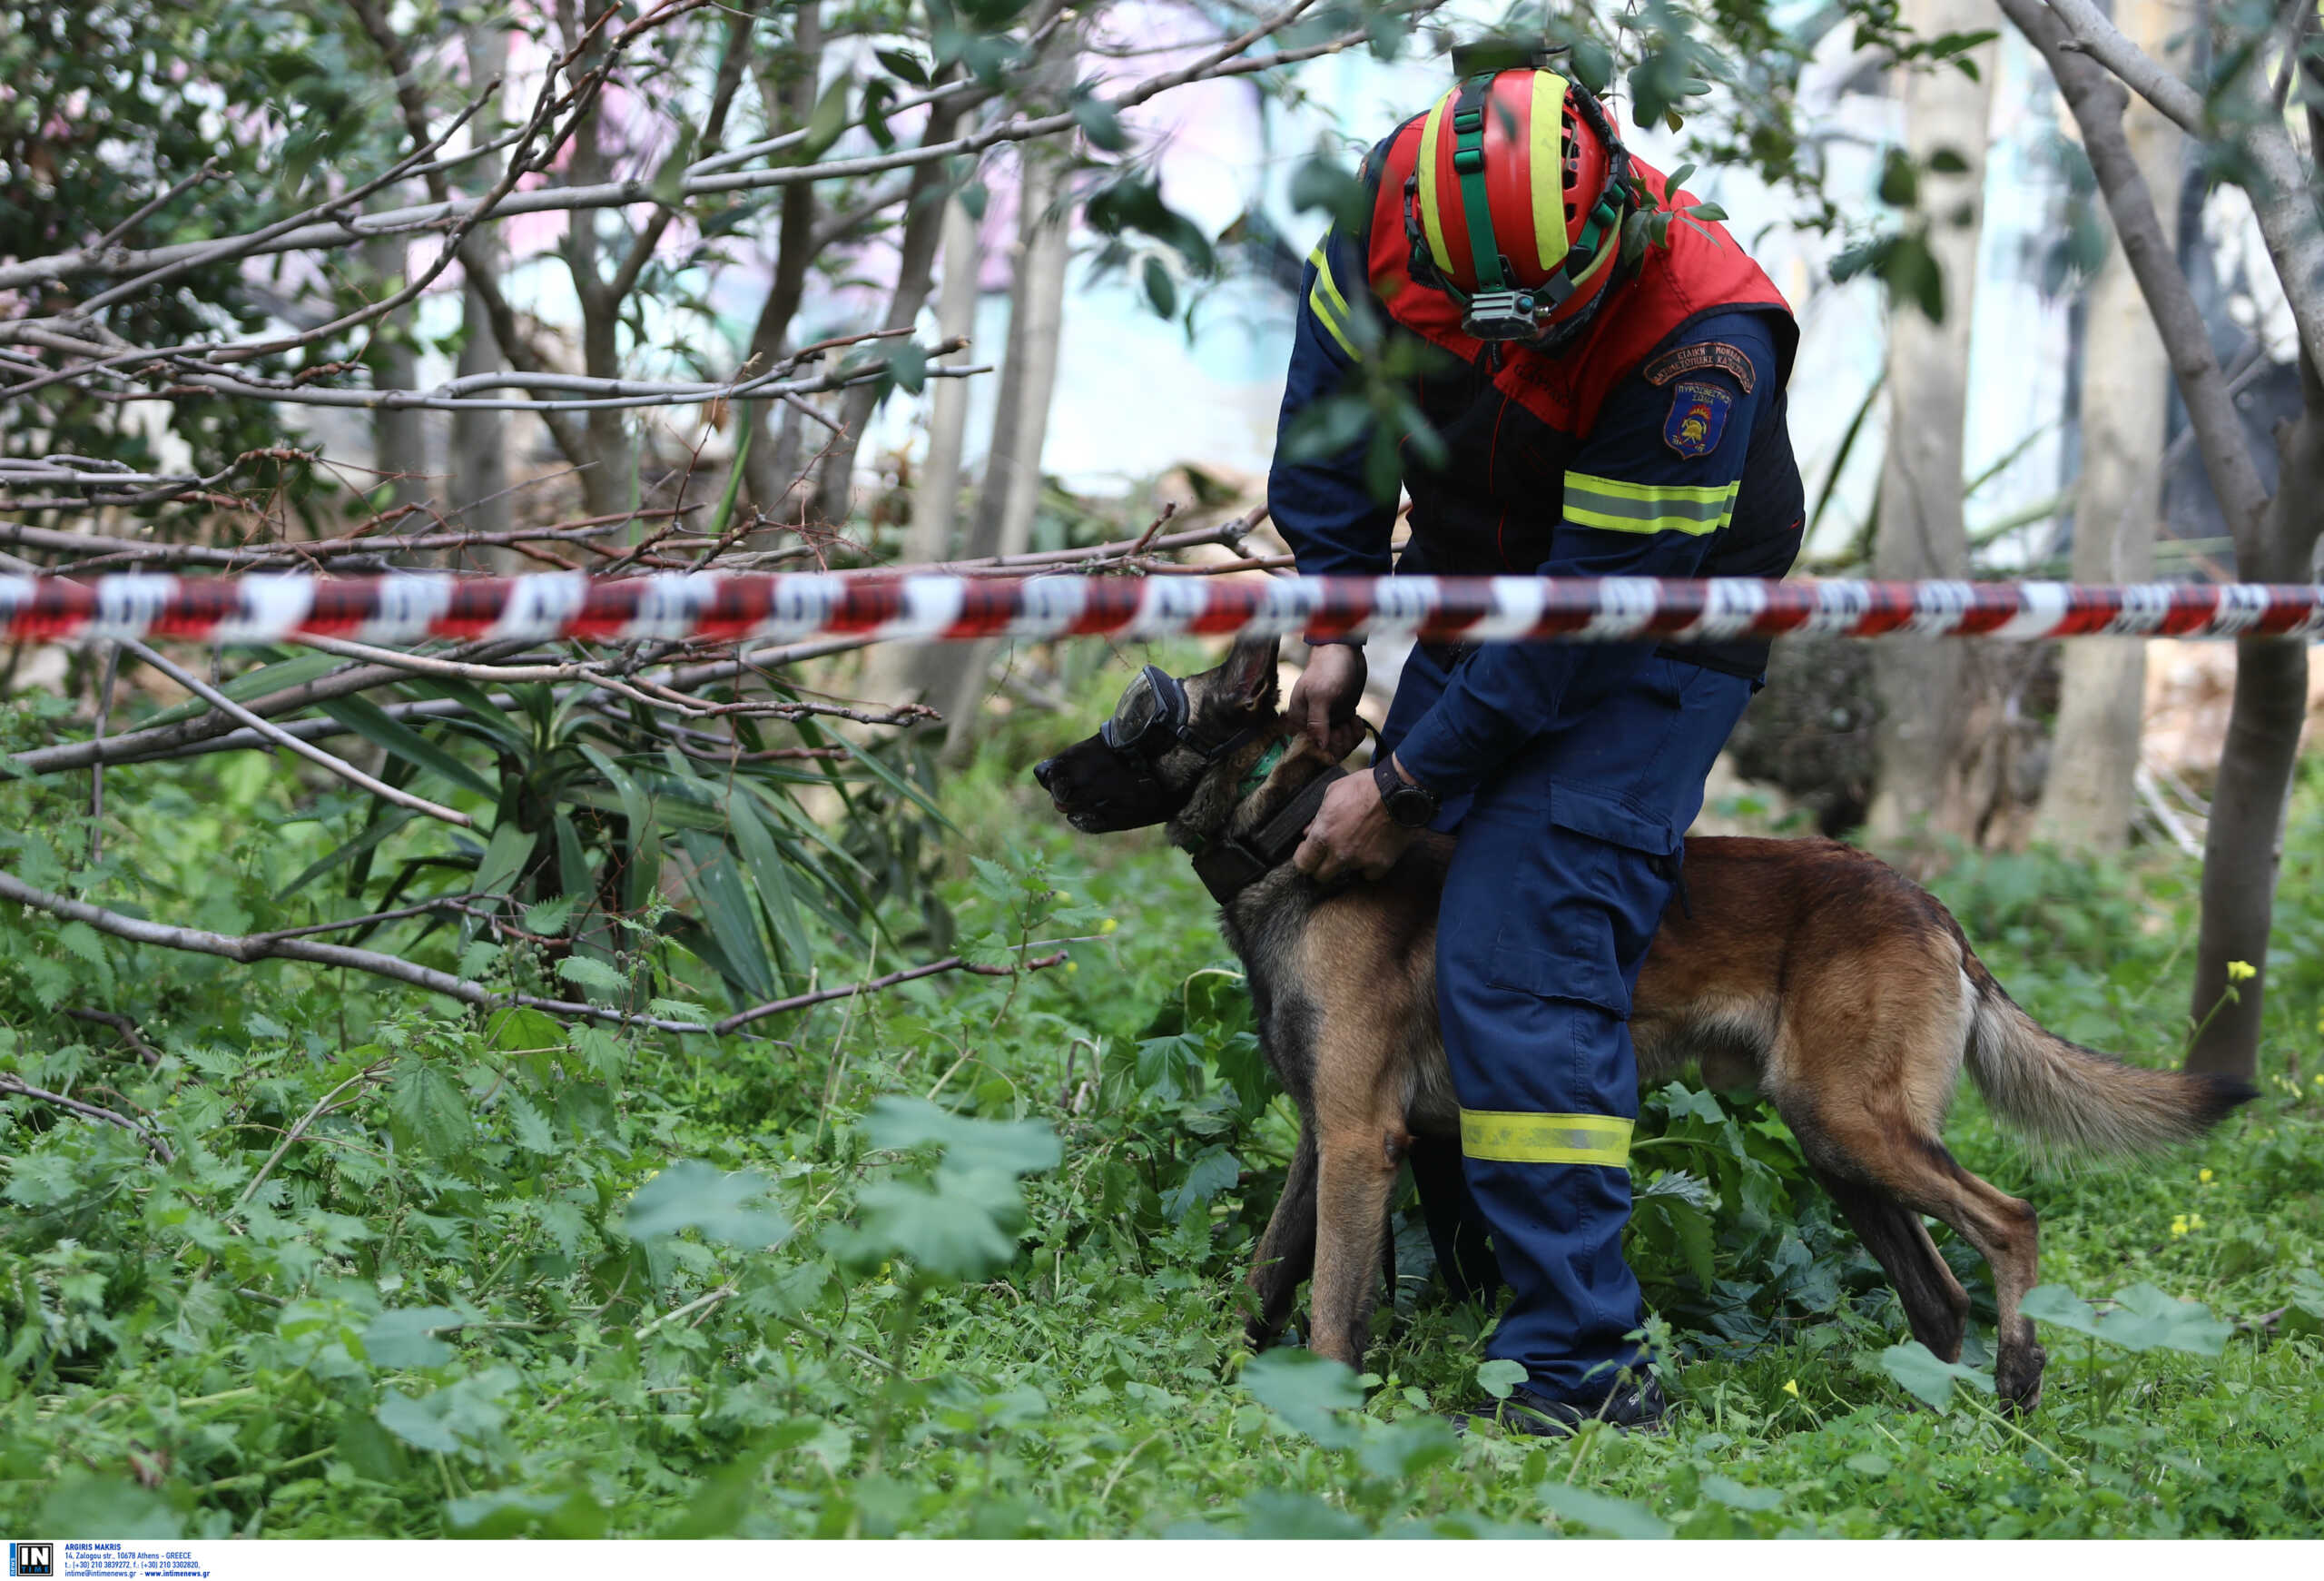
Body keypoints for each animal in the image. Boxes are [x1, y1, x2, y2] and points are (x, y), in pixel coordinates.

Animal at [1036, 637, 2250, 1413]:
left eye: (1133, 721)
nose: (1043, 769)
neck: (1288, 836)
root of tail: (1926, 902)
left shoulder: (1356, 1141)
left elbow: (1331, 1304)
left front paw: (1321, 1418)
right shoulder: (1319, 1138)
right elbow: (1265, 1276)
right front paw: (1230, 1380)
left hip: (1856, 1127)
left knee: (2011, 1220)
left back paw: (2016, 1377)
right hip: (1835, 1141)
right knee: (1936, 1294)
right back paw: (1928, 1415)